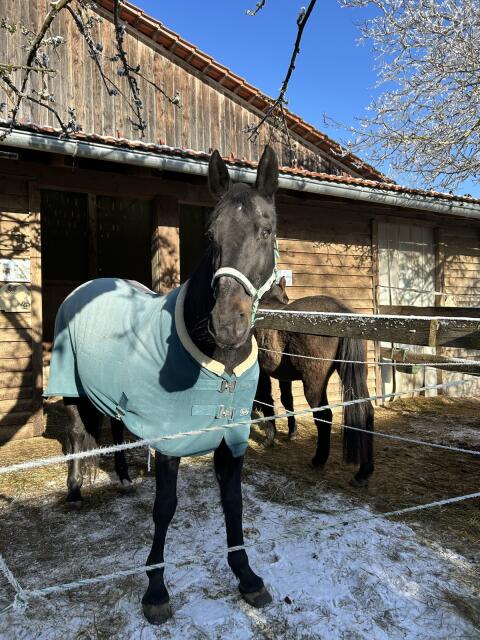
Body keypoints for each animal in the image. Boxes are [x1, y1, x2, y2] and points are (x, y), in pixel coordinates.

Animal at [45, 146, 279, 624]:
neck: (219, 362)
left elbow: (234, 503)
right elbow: (165, 509)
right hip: (72, 384)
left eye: (265, 230)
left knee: (116, 429)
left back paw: (122, 478)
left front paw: (247, 578)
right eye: (210, 235)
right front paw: (155, 590)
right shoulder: (172, 439)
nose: (227, 325)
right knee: (78, 433)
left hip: (117, 394)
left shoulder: (232, 438)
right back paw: (75, 492)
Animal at [254, 278, 375, 487]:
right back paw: (363, 472)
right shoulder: (283, 377)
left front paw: (270, 437)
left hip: (314, 385)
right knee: (365, 412)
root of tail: (345, 314)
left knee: (324, 416)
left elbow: (265, 400)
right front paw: (292, 432)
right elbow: (287, 400)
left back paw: (319, 460)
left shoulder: (262, 374)